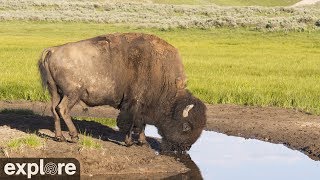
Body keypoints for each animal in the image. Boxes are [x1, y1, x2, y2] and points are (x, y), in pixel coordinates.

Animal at [38, 33, 208, 151]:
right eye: (186, 126)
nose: (185, 148)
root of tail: (53, 50)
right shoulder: (133, 103)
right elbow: (131, 123)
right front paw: (129, 142)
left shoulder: (142, 106)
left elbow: (141, 124)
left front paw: (143, 142)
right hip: (72, 94)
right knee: (63, 109)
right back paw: (74, 137)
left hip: (55, 92)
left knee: (54, 110)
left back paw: (59, 137)